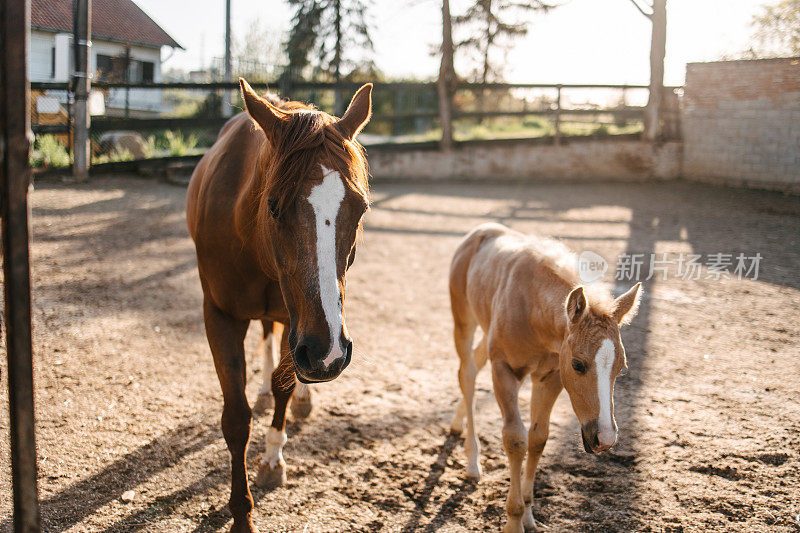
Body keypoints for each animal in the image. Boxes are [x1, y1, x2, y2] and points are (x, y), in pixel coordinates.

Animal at [187, 77, 372, 528]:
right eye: (273, 206)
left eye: (359, 209)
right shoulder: (219, 317)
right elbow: (236, 419)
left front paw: (273, 459)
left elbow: (284, 384)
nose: (329, 354)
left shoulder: (299, 324)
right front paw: (242, 514)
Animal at [450, 222, 644, 528]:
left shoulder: (550, 376)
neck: (532, 307)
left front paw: (529, 516)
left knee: (475, 362)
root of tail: (480, 231)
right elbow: (515, 439)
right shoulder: (504, 370)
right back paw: (472, 462)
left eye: (621, 368)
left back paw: (457, 424)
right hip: (463, 319)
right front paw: (513, 522)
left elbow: (538, 437)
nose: (605, 439)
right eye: (577, 364)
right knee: (467, 373)